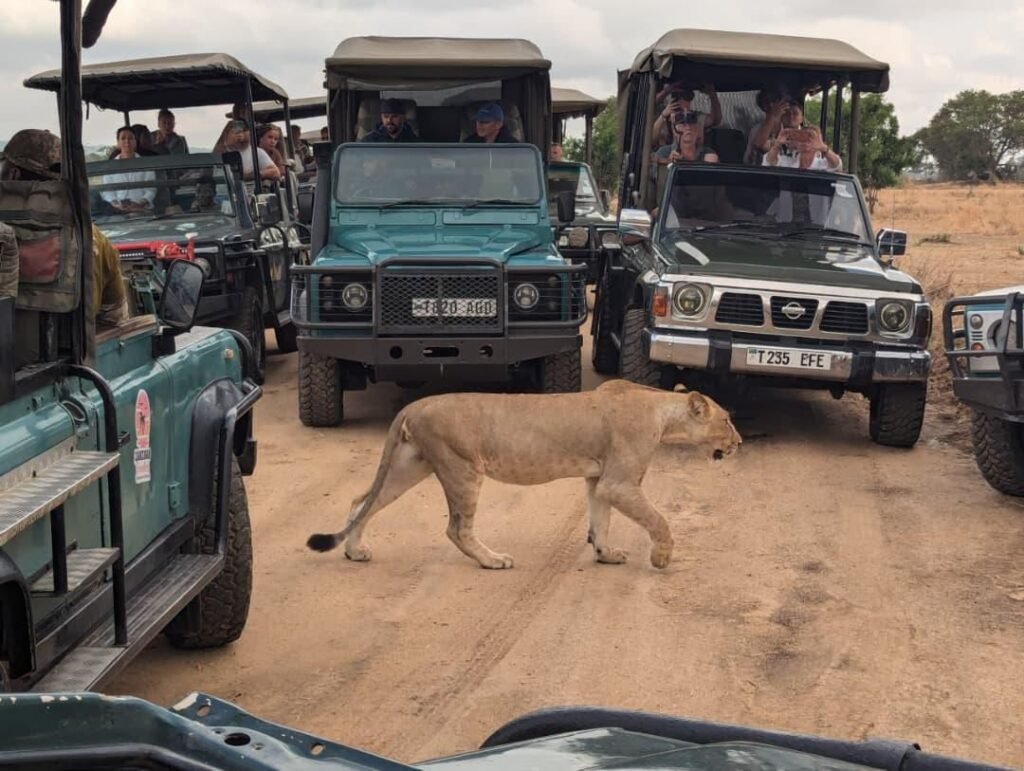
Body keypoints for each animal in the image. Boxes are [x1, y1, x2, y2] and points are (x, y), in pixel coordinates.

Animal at [306, 379, 741, 569]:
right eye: (727, 420)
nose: (739, 442)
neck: (662, 412)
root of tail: (415, 404)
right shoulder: (620, 482)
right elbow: (659, 519)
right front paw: (661, 556)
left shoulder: (599, 481)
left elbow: (599, 520)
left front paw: (605, 554)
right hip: (462, 468)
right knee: (456, 528)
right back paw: (492, 560)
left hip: (409, 465)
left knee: (362, 502)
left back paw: (354, 551)